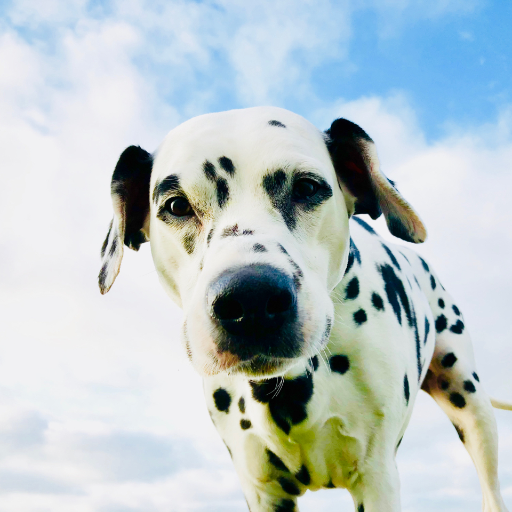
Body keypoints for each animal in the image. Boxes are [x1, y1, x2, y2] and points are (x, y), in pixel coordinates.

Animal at [98, 106, 510, 510]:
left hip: (471, 404)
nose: (250, 299)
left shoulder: (376, 478)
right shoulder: (262, 490)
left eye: (307, 187)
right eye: (177, 205)